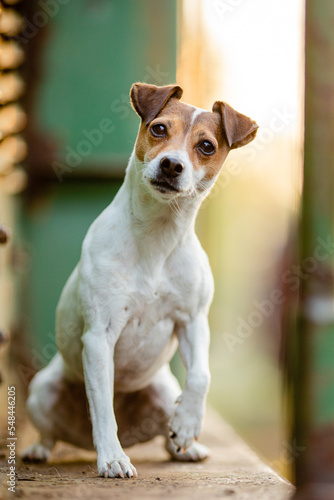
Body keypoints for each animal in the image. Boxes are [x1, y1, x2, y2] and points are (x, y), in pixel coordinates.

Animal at [22, 84, 258, 478]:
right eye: (159, 129)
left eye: (206, 146)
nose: (172, 164)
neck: (157, 239)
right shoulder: (99, 336)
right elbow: (103, 408)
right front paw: (112, 458)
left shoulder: (193, 321)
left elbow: (201, 376)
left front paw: (188, 424)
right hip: (43, 390)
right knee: (49, 432)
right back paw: (39, 450)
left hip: (162, 390)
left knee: (167, 429)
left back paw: (183, 447)